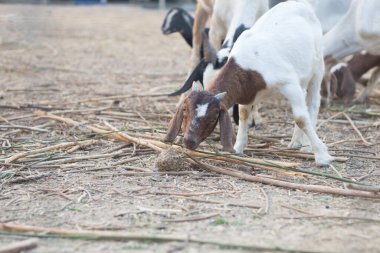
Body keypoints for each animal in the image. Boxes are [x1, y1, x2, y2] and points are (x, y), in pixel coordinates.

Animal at [163, 0, 332, 166]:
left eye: (212, 117)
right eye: (186, 111)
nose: (188, 142)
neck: (247, 66)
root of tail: (299, 4)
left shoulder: (289, 84)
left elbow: (301, 118)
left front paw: (322, 156)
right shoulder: (248, 93)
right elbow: (244, 114)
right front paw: (238, 148)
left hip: (317, 67)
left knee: (312, 103)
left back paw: (306, 146)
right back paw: (295, 142)